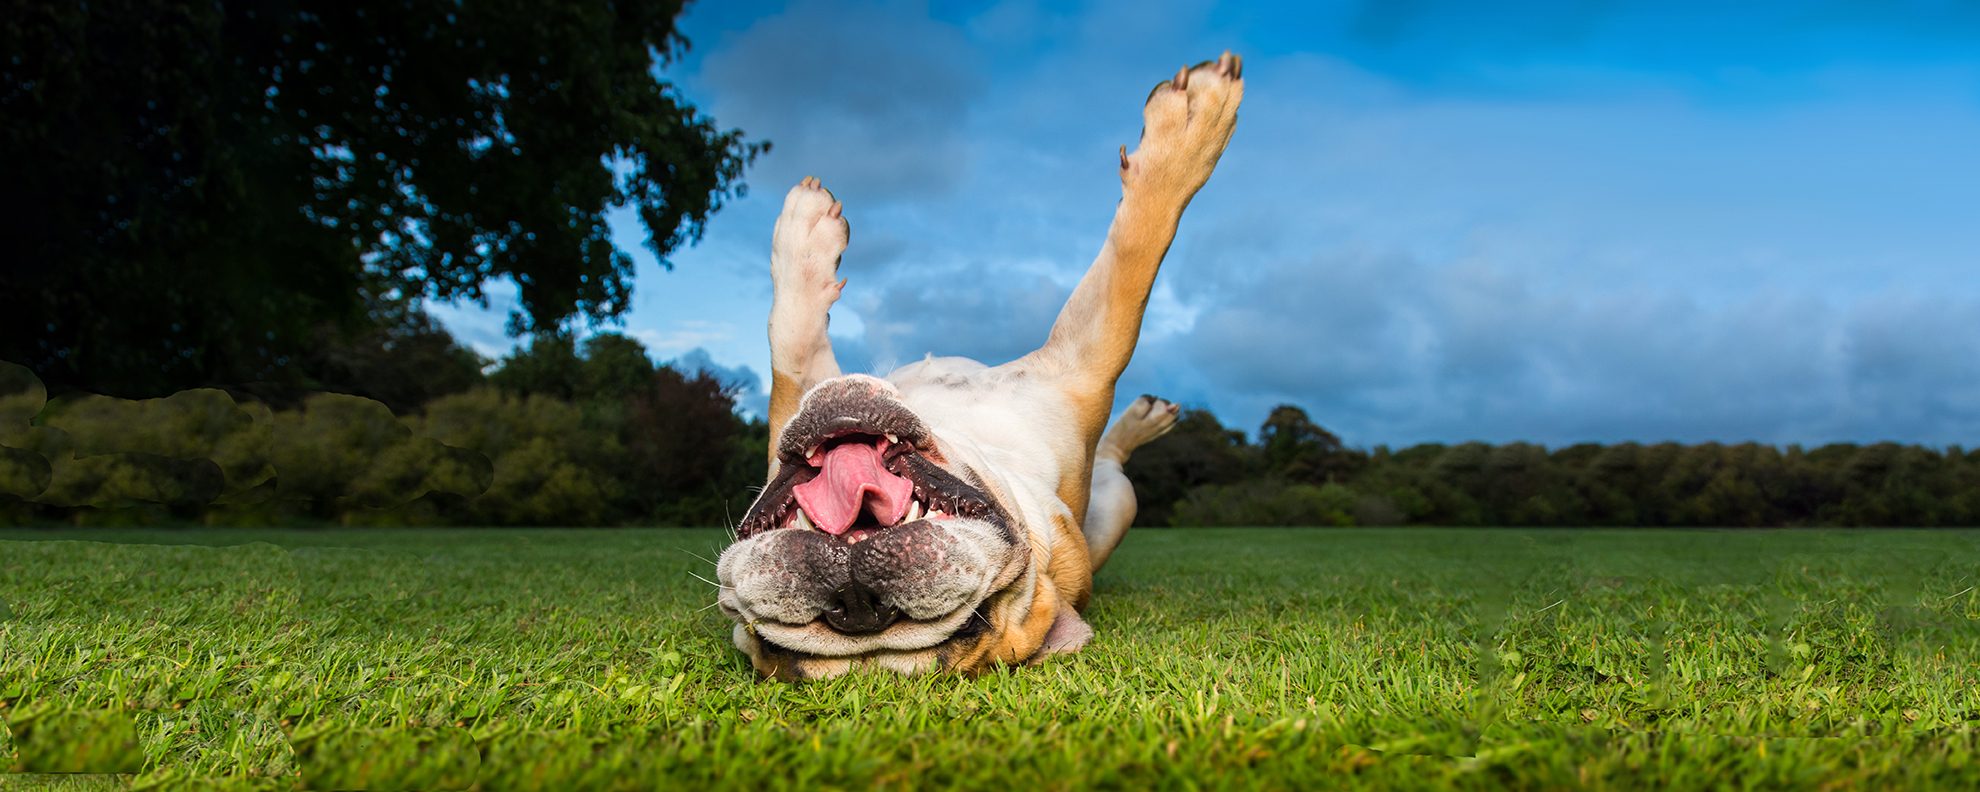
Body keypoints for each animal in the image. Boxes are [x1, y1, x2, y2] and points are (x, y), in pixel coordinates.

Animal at [716, 52, 1235, 677]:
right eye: (769, 646)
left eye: (976, 622)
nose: (858, 602)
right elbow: (1129, 276)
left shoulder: (1076, 373)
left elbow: (1136, 258)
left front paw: (1188, 129)